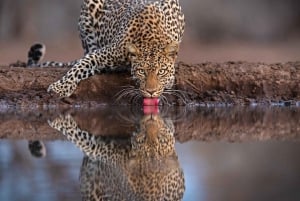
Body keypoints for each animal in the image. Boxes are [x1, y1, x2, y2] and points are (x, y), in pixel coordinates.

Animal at [28, 0, 184, 99]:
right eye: (141, 71)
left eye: (161, 71)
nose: (151, 92)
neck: (150, 38)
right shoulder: (100, 55)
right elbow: (78, 68)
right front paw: (59, 88)